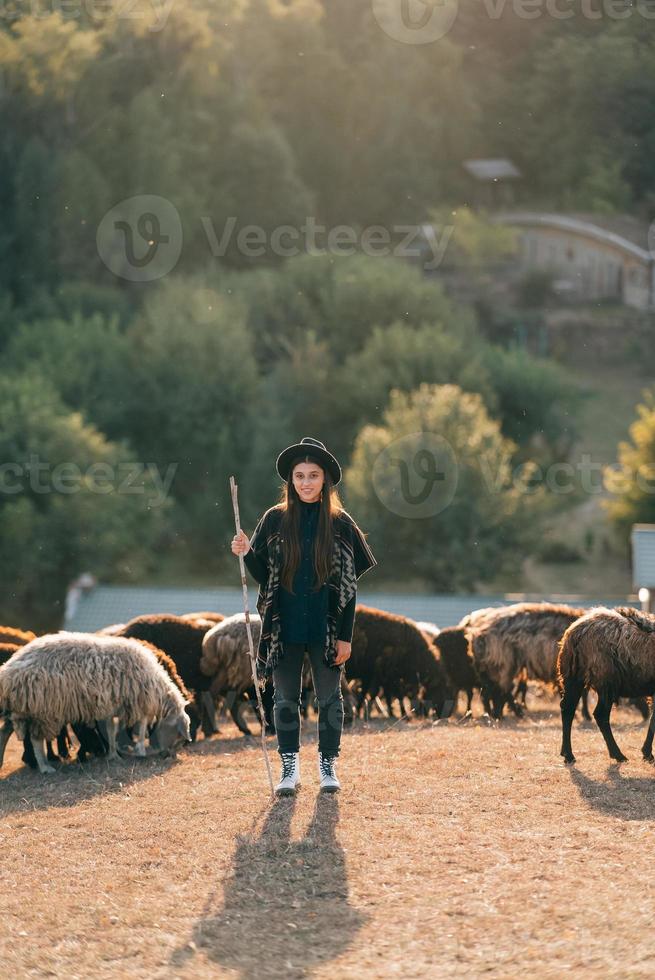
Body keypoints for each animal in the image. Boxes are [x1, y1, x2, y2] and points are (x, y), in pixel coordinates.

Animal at [0, 632, 190, 776]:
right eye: (179, 736)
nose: (170, 755)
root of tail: (8, 671)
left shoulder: (114, 706)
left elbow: (112, 730)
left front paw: (114, 754)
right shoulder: (139, 702)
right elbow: (140, 728)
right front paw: (139, 751)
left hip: (23, 707)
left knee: (5, 731)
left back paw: (2, 761)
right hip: (43, 709)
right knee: (35, 739)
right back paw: (45, 767)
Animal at [556, 604, 655, 764]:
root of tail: (576, 634)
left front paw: (646, 753)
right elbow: (653, 721)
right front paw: (647, 753)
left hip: (573, 677)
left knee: (567, 708)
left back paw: (567, 754)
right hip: (606, 680)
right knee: (600, 714)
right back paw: (618, 755)